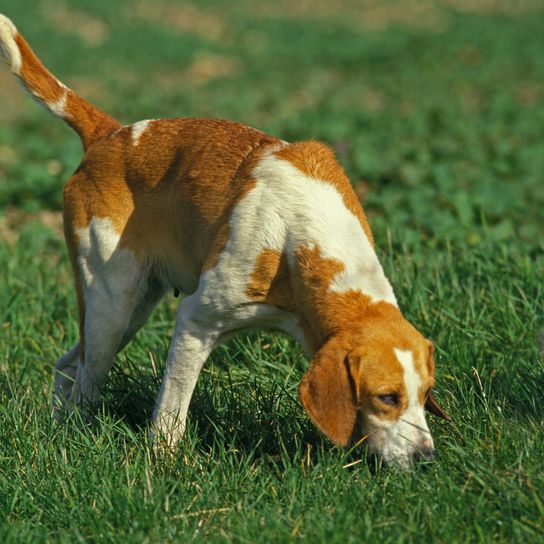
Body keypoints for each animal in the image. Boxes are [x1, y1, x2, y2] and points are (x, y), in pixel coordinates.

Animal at [0, 15, 448, 468]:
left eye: (426, 394)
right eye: (387, 397)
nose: (427, 457)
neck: (300, 240)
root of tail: (111, 134)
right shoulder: (195, 322)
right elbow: (171, 413)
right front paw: (164, 461)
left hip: (130, 313)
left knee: (67, 367)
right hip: (111, 308)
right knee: (86, 386)